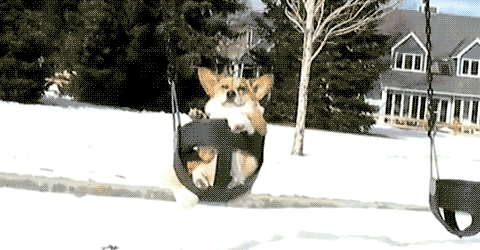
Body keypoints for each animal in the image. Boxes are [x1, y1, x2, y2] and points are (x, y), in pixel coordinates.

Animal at [159, 67, 274, 209]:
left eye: (242, 88)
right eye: (224, 86)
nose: (231, 93)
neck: (228, 113)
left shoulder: (257, 136)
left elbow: (246, 118)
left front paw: (238, 122)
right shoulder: (206, 153)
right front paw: (199, 116)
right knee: (196, 172)